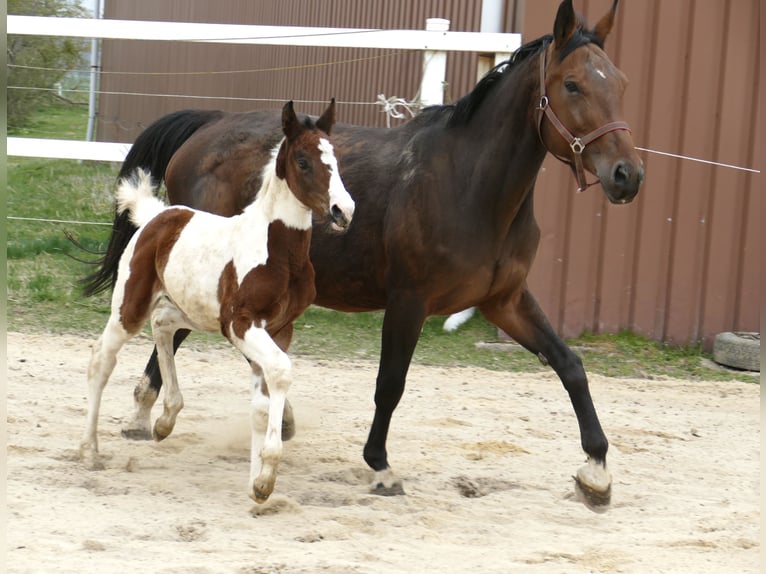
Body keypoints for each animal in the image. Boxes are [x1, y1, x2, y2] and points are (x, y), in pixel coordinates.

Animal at [79, 100, 355, 503]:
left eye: (335, 158)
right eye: (303, 161)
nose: (343, 211)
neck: (278, 250)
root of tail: (156, 215)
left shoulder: (279, 328)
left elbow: (260, 405)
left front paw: (258, 485)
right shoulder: (242, 323)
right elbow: (281, 372)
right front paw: (266, 474)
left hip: (196, 311)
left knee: (163, 324)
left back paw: (165, 418)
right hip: (131, 304)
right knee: (102, 358)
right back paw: (90, 450)